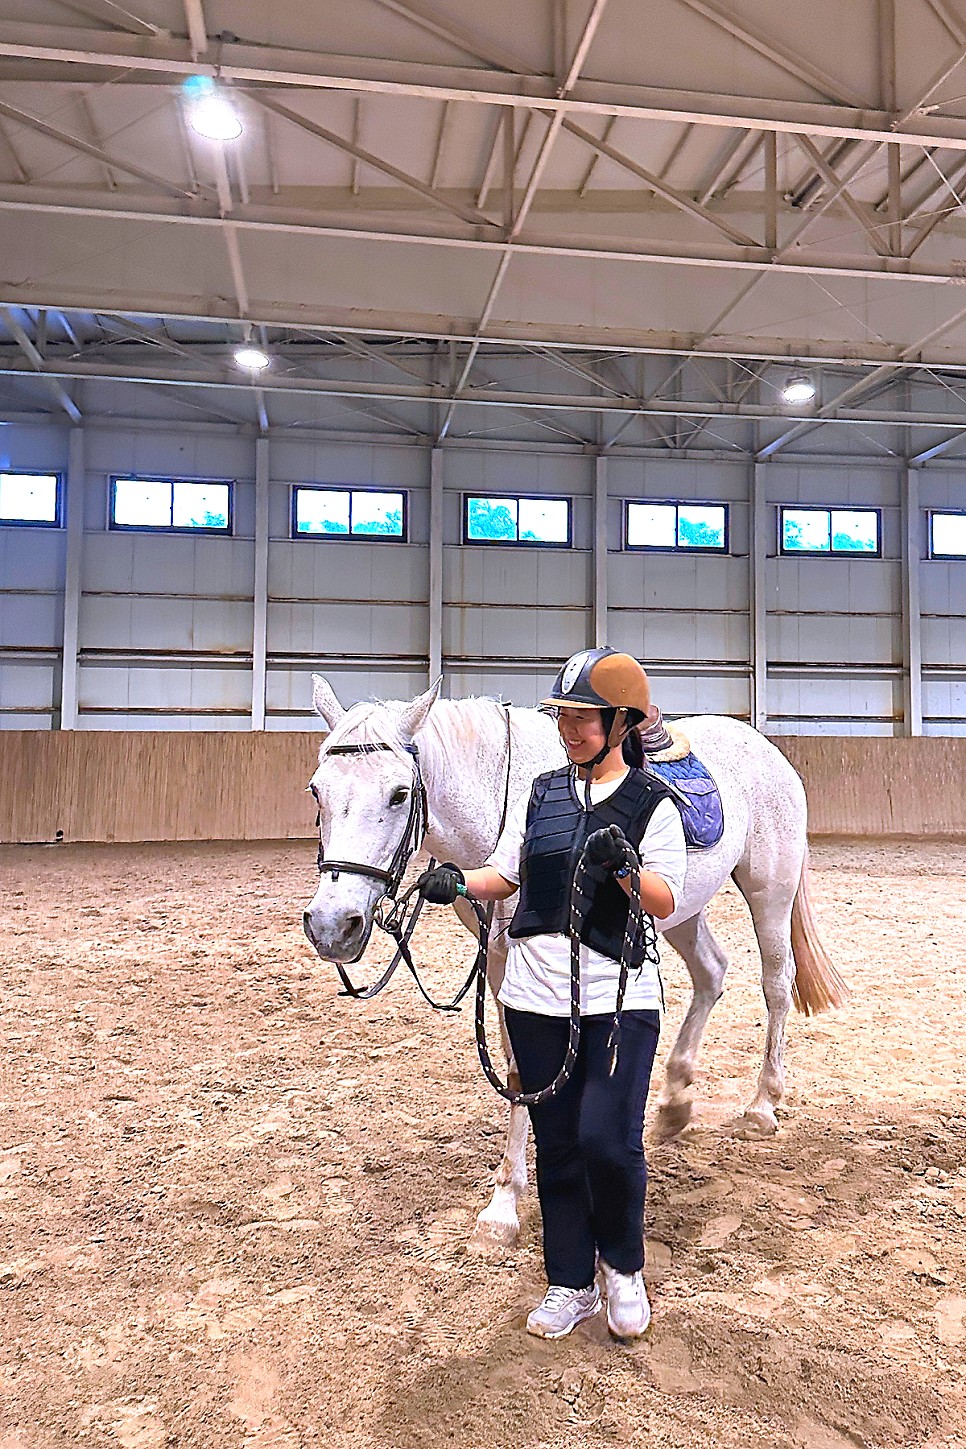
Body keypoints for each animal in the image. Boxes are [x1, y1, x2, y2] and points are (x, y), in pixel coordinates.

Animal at [302, 678, 845, 1257]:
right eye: (317, 791)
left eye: (399, 793)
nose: (331, 924)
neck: (500, 798)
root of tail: (765, 748)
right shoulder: (499, 963)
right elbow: (520, 1068)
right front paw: (511, 1197)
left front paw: (506, 1207)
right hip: (679, 910)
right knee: (711, 973)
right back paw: (675, 1101)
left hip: (770, 892)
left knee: (776, 985)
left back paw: (762, 1106)